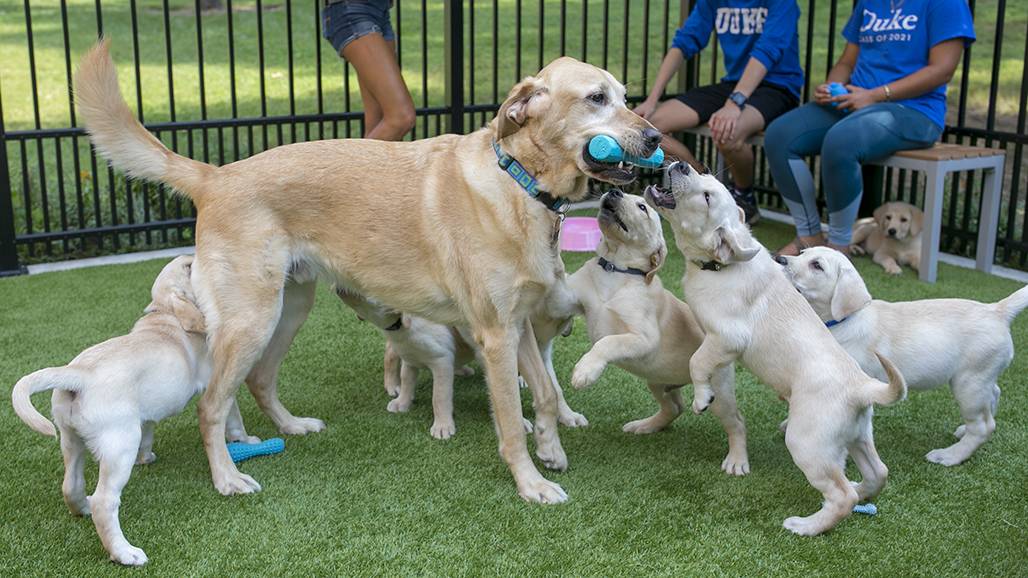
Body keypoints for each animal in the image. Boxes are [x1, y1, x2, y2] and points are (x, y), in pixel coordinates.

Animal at [11, 255, 257, 563]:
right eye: (189, 267)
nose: (197, 255)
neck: (166, 315)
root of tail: (79, 374)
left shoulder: (147, 410)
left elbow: (149, 427)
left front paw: (146, 457)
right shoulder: (216, 380)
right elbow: (232, 412)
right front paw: (246, 439)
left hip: (70, 437)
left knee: (71, 485)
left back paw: (83, 507)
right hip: (120, 444)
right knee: (105, 501)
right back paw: (125, 553)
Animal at [74, 39, 657, 499]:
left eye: (626, 96)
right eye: (596, 98)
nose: (654, 138)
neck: (517, 180)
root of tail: (215, 176)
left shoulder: (521, 328)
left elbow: (547, 394)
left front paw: (552, 448)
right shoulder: (495, 336)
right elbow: (512, 421)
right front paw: (530, 483)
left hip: (287, 310)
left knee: (259, 380)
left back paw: (291, 426)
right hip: (250, 320)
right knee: (211, 405)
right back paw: (225, 478)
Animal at [563, 189, 748, 473]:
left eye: (642, 207)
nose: (613, 190)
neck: (615, 269)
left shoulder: (644, 338)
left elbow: (608, 342)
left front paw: (585, 371)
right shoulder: (575, 292)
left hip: (719, 393)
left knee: (736, 421)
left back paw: (737, 460)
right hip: (657, 381)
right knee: (674, 408)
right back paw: (646, 425)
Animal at [649, 159, 908, 534]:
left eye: (708, 197)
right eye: (705, 175)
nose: (681, 163)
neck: (720, 266)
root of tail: (862, 389)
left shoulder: (727, 337)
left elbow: (697, 362)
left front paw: (702, 398)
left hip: (806, 442)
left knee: (841, 496)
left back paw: (806, 525)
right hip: (857, 436)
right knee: (878, 473)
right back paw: (861, 490)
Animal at [777, 246, 1028, 462]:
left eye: (817, 265)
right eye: (802, 252)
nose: (779, 259)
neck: (844, 320)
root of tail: (997, 310)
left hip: (969, 383)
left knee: (984, 426)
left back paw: (949, 456)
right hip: (979, 378)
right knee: (993, 396)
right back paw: (963, 430)